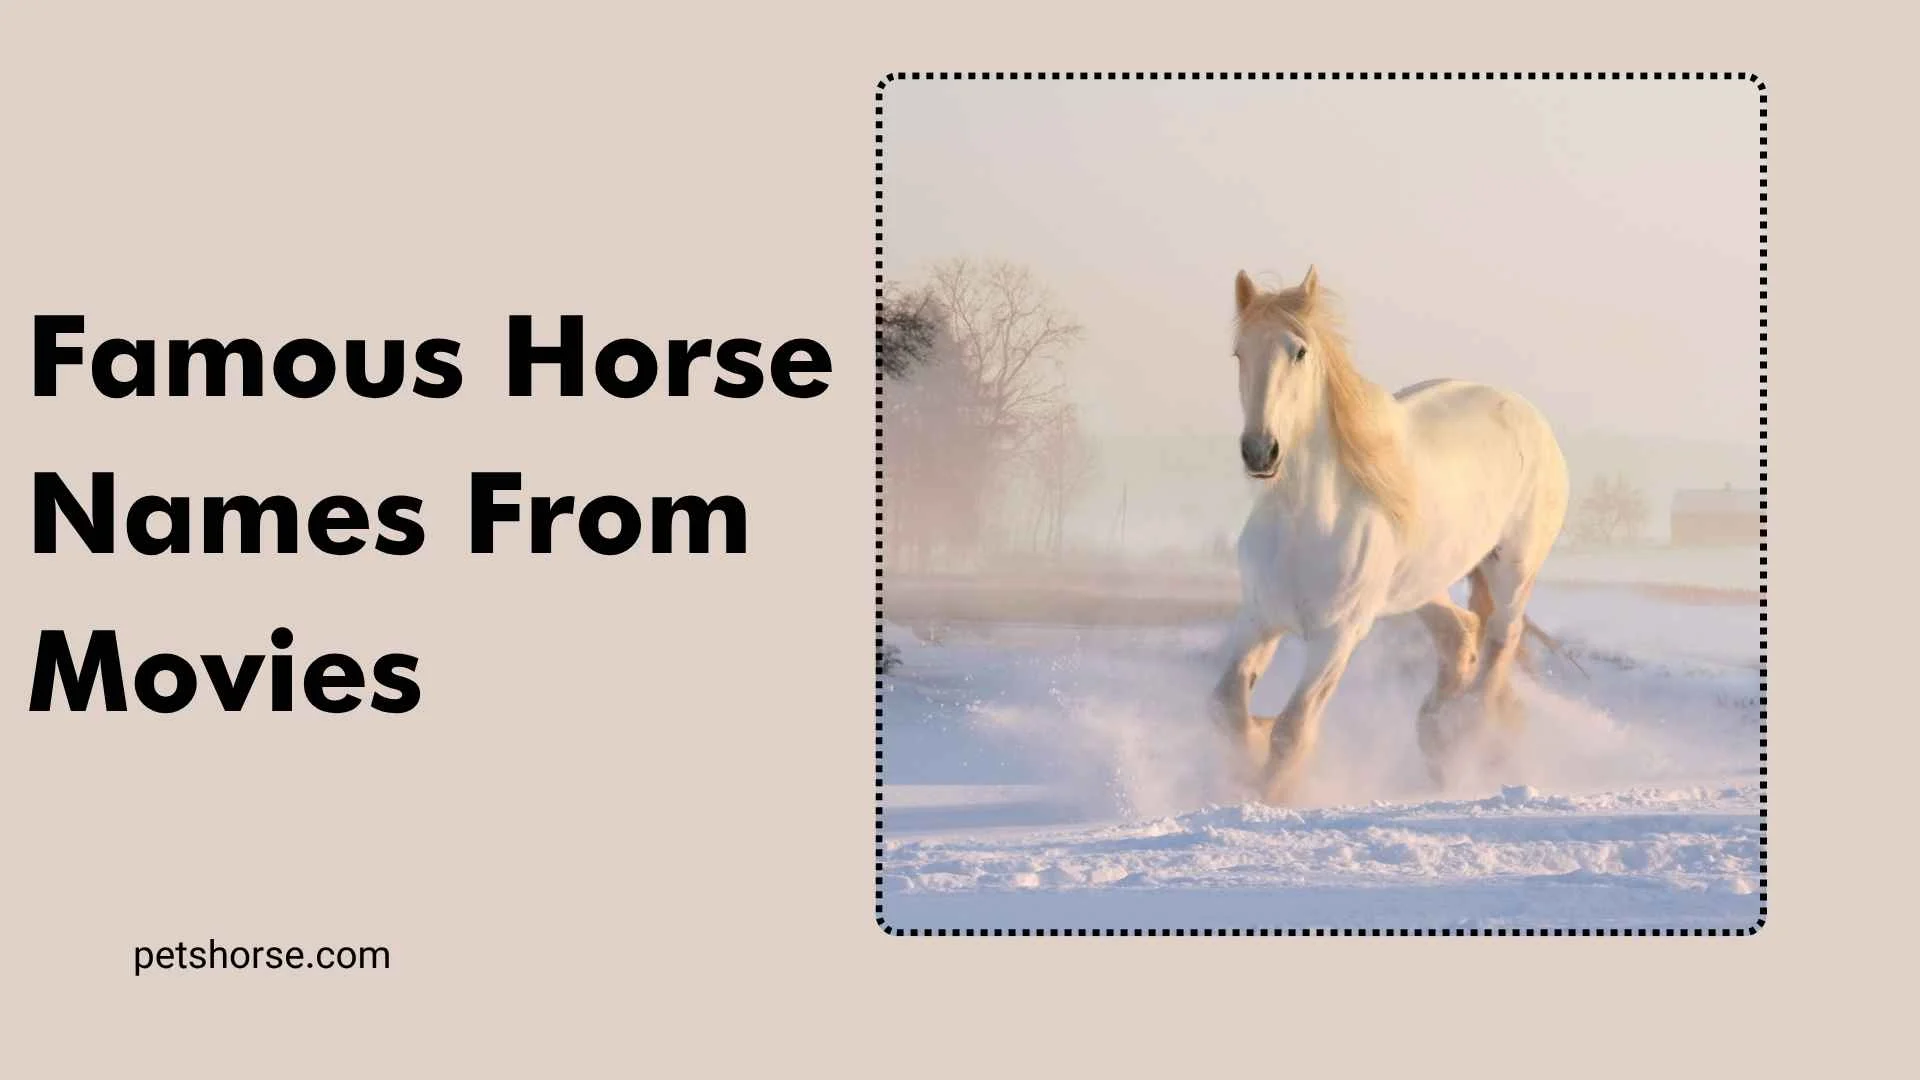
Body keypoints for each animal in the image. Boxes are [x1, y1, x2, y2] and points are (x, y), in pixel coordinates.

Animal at [1210, 266, 1571, 804]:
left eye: (1299, 351)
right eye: (1239, 353)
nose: (1260, 451)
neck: (1304, 524)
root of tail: (1528, 415)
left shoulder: (1337, 636)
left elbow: (1292, 731)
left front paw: (1270, 794)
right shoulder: (1258, 618)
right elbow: (1228, 708)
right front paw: (1252, 749)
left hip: (1513, 570)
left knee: (1498, 645)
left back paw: (1463, 734)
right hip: (1421, 585)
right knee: (1461, 634)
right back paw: (1437, 732)